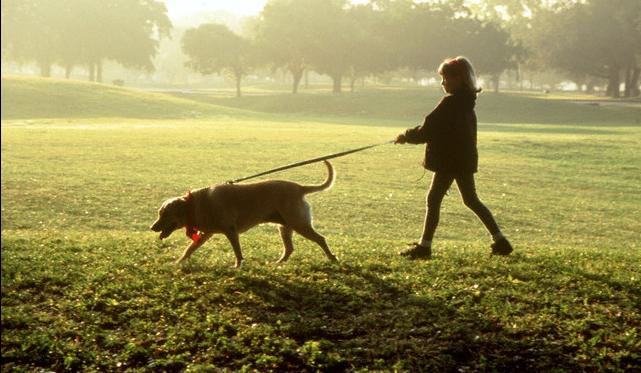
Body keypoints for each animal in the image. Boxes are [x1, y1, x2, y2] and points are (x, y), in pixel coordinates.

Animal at [151, 160, 338, 268]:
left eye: (165, 214)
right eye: (160, 213)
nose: (152, 227)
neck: (192, 205)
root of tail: (300, 188)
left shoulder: (230, 231)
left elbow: (237, 252)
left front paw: (238, 266)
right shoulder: (205, 234)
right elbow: (189, 249)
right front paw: (178, 262)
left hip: (299, 223)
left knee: (321, 239)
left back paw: (332, 258)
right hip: (285, 227)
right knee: (289, 248)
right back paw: (278, 263)